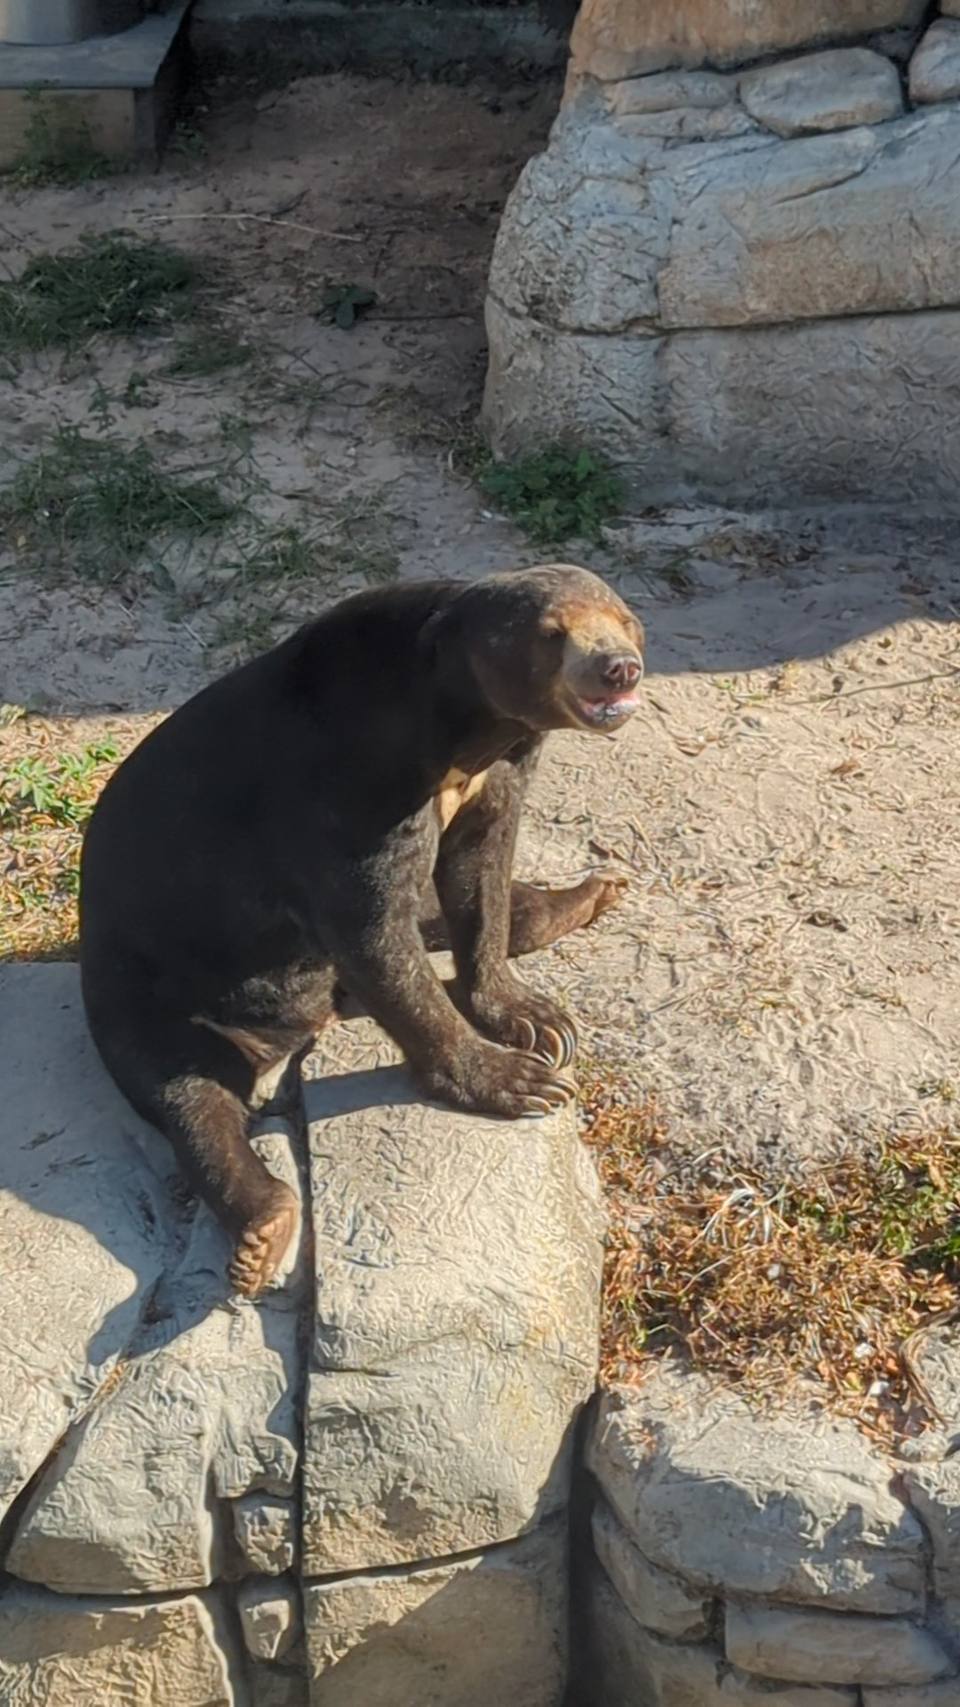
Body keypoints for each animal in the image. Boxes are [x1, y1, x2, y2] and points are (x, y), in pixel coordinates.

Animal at [79, 563, 644, 1297]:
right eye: (553, 633)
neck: (464, 732)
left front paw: (536, 1017)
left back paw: (600, 887)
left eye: (625, 620)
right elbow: (375, 934)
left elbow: (481, 878)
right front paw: (519, 1080)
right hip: (146, 994)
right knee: (190, 1092)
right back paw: (265, 1226)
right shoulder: (344, 794)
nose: (618, 667)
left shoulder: (493, 780)